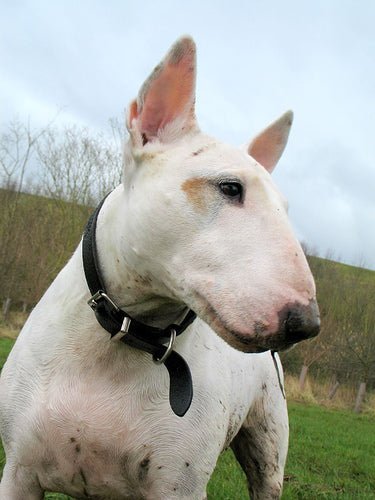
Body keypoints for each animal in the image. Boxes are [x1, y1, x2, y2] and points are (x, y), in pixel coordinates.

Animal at [0, 37, 320, 498]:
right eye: (230, 187)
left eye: (286, 210)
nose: (305, 324)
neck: (124, 334)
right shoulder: (19, 472)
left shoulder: (177, 486)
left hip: (268, 451)